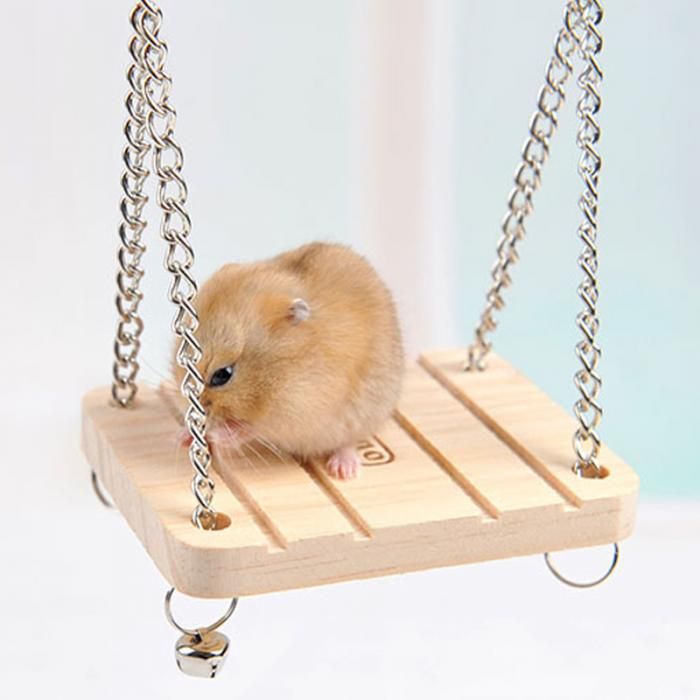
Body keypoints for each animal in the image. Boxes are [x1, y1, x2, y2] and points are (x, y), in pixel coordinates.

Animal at [172, 242, 404, 479]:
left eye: (222, 375)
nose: (189, 406)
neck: (277, 371)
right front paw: (182, 436)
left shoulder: (298, 409)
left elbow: (251, 429)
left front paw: (217, 435)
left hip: (366, 416)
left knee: (349, 442)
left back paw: (343, 470)